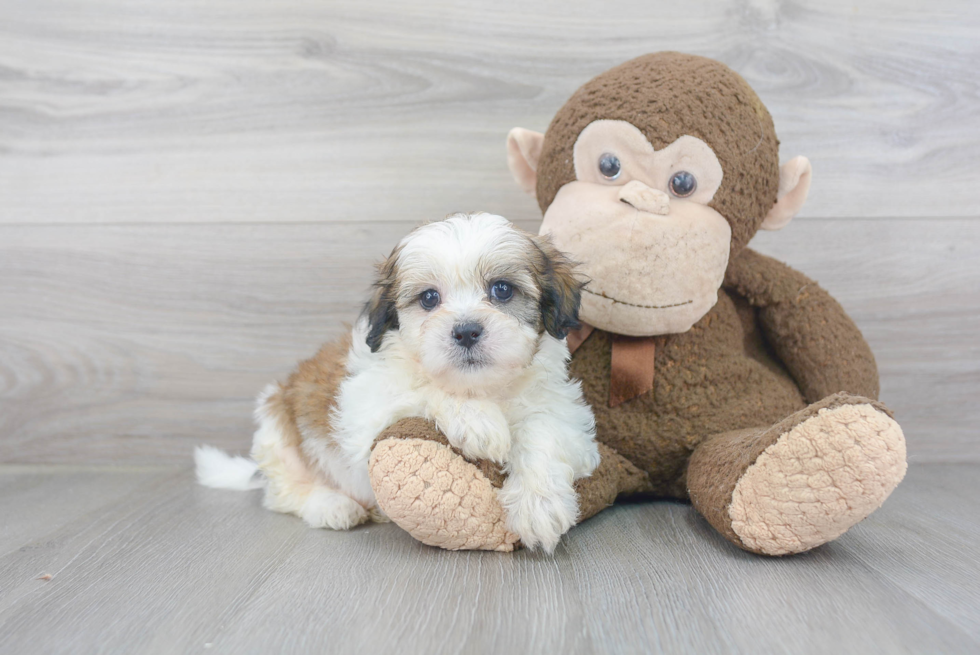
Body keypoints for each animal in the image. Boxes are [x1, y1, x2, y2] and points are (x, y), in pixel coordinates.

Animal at [196, 213, 600, 552]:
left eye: (502, 290)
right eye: (429, 298)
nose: (466, 331)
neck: (481, 387)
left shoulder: (563, 413)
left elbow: (543, 432)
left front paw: (538, 505)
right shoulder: (363, 408)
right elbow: (422, 388)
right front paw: (478, 421)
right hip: (277, 430)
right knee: (283, 492)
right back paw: (332, 505)